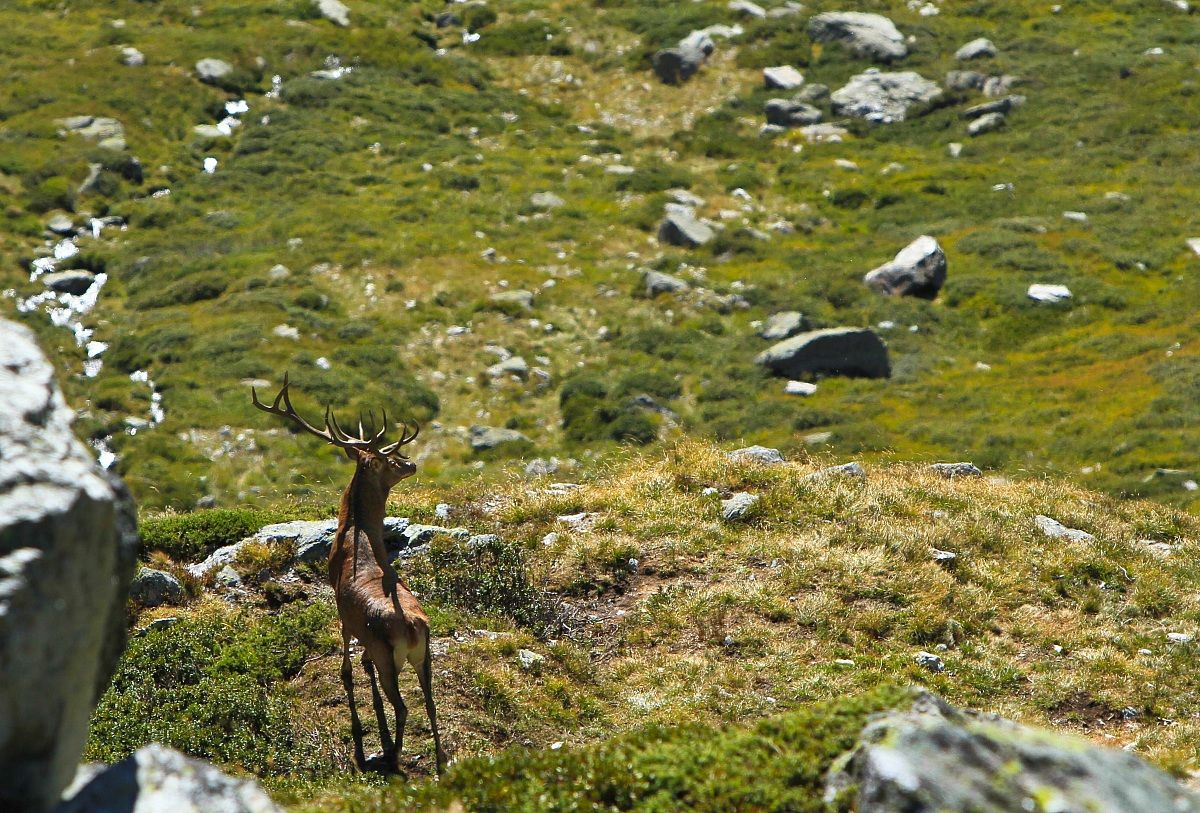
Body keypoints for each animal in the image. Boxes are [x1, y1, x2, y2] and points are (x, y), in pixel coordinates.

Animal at [251, 373, 446, 776]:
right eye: (388, 457)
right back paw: (438, 759)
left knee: (402, 705)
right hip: (426, 655)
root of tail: (413, 627)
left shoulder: (340, 605)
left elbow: (346, 653)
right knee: (431, 702)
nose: (411, 463)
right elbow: (364, 661)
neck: (354, 532)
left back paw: (391, 755)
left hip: (392, 655)